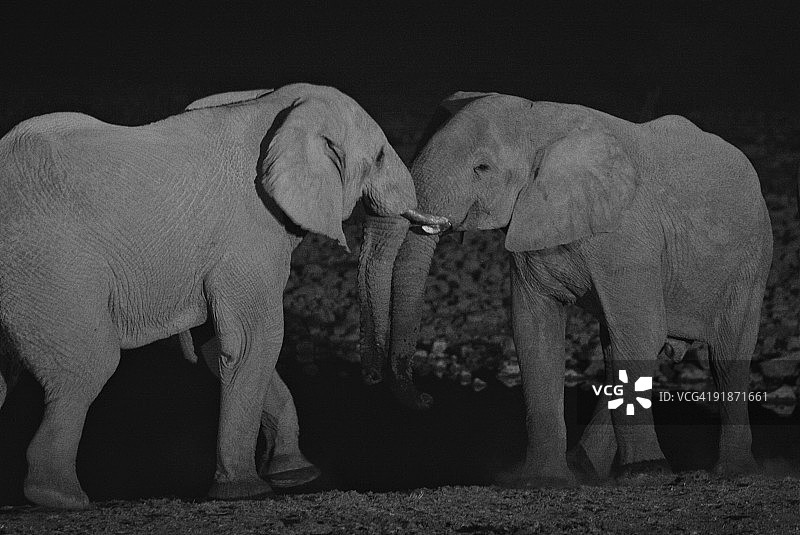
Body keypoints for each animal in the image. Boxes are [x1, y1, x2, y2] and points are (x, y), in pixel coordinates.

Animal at [0, 82, 446, 509]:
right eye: (380, 157)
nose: (425, 398)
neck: (273, 108)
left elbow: (221, 345)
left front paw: (295, 475)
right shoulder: (248, 238)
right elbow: (255, 341)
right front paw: (246, 490)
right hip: (50, 267)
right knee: (91, 363)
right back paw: (61, 498)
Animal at [358, 91, 773, 486]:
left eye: (482, 168)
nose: (427, 398)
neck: (540, 120)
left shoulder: (628, 236)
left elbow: (640, 331)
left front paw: (646, 475)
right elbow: (535, 332)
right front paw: (544, 481)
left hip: (750, 261)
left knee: (725, 356)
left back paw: (733, 472)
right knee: (617, 349)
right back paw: (585, 466)